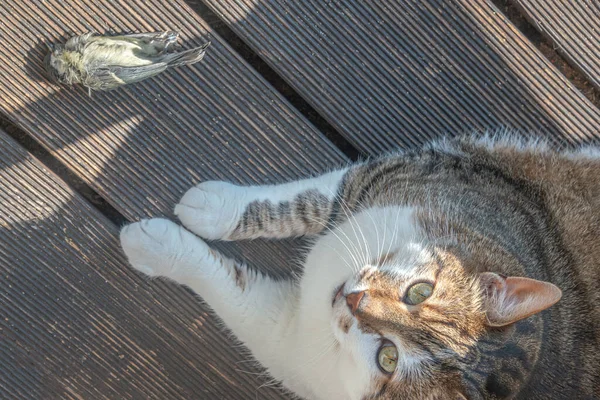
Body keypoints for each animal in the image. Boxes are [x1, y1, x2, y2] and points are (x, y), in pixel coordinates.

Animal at [119, 135, 596, 400]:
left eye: (388, 358)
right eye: (419, 290)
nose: (354, 299)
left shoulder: (287, 344)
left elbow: (230, 288)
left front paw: (154, 246)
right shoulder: (400, 174)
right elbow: (298, 202)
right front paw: (214, 207)